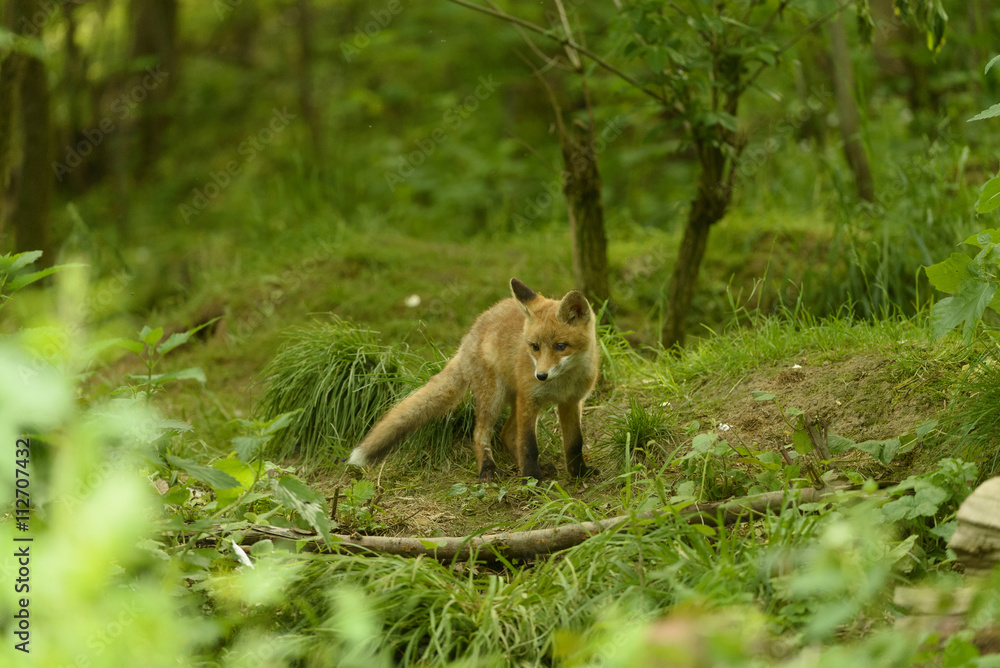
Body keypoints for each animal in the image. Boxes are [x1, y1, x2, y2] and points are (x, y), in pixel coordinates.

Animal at [347, 278, 600, 481]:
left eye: (561, 346)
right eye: (535, 347)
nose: (541, 376)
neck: (563, 383)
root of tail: (471, 332)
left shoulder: (571, 402)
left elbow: (574, 443)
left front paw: (579, 473)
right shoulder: (529, 400)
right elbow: (528, 445)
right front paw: (530, 478)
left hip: (512, 398)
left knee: (506, 434)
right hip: (494, 398)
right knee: (481, 433)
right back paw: (488, 469)